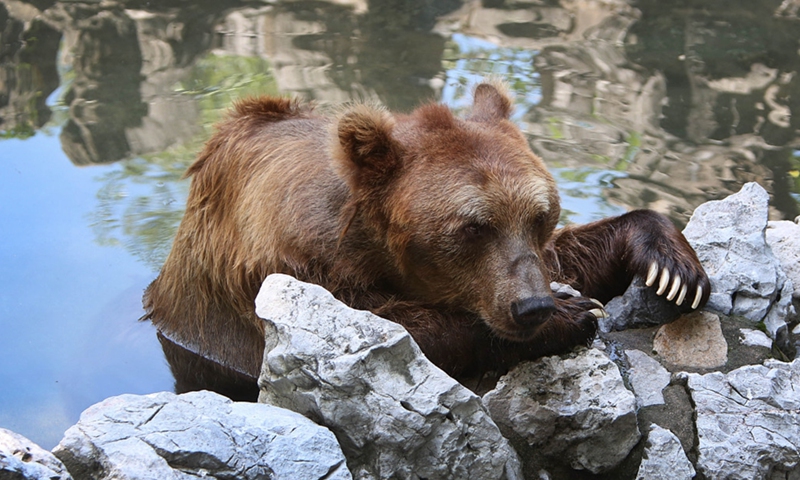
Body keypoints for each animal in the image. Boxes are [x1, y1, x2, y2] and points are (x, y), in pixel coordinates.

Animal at [141, 80, 708, 400]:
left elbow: (565, 256)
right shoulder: (278, 270)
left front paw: (672, 267)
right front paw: (574, 314)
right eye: (473, 226)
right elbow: (397, 333)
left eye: (540, 214)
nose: (533, 306)